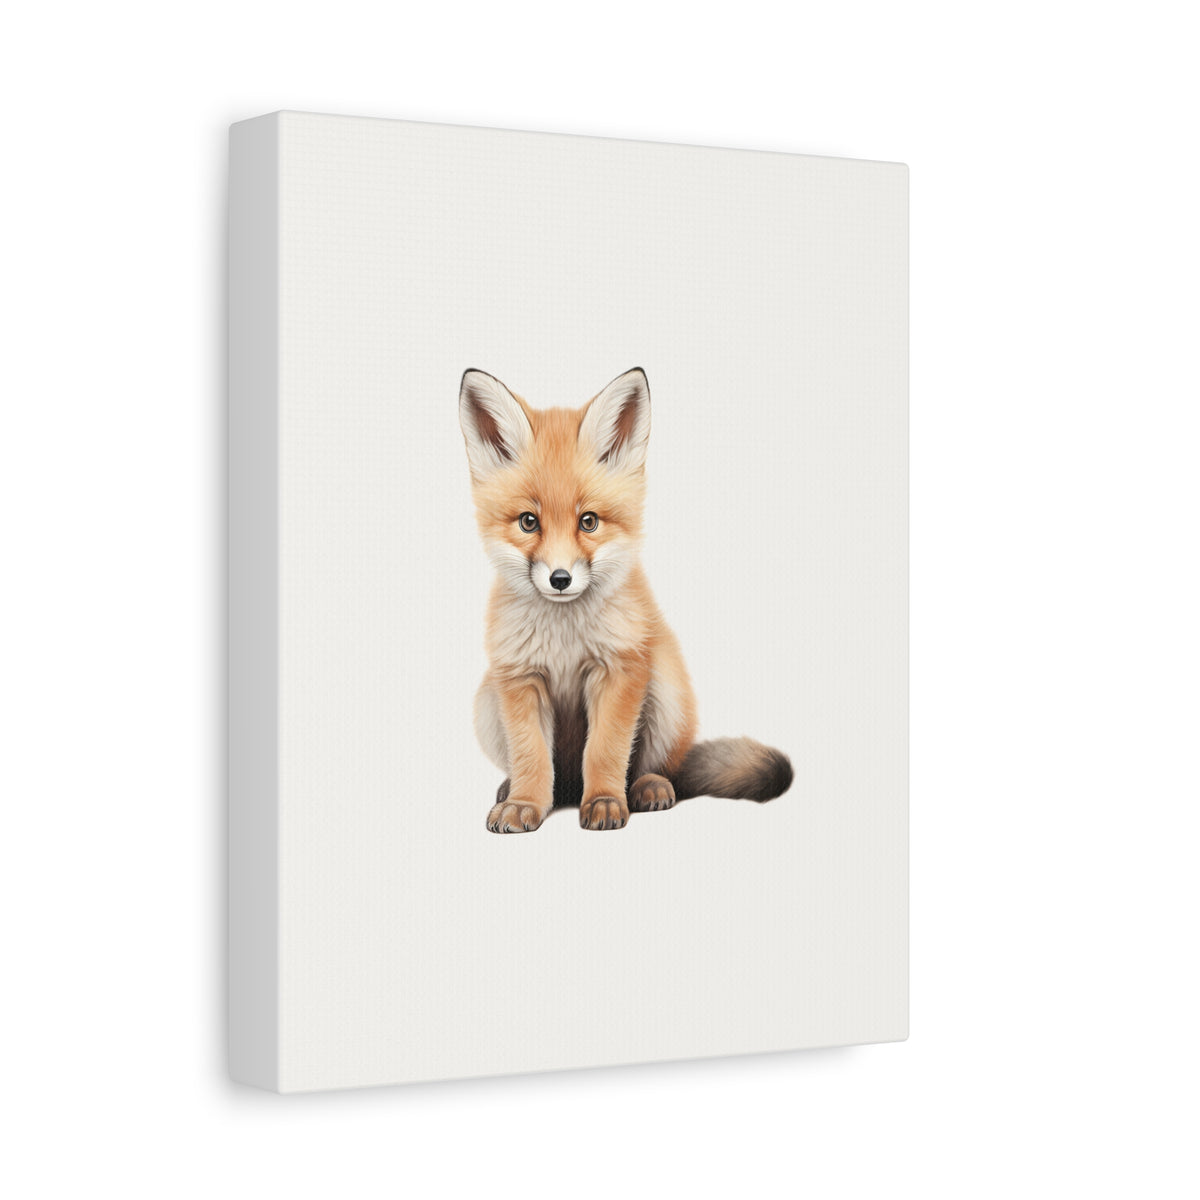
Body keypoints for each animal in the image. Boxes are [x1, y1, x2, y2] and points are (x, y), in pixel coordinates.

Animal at [459, 367, 793, 832]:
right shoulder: (519, 677)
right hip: (487, 700)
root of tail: (569, 788)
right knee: (548, 772)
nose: (560, 579)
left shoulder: (618, 670)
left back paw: (647, 788)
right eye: (528, 522)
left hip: (665, 689)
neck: (565, 639)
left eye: (588, 522)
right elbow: (530, 756)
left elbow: (606, 750)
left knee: (656, 768)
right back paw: (516, 789)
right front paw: (524, 802)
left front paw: (603, 800)